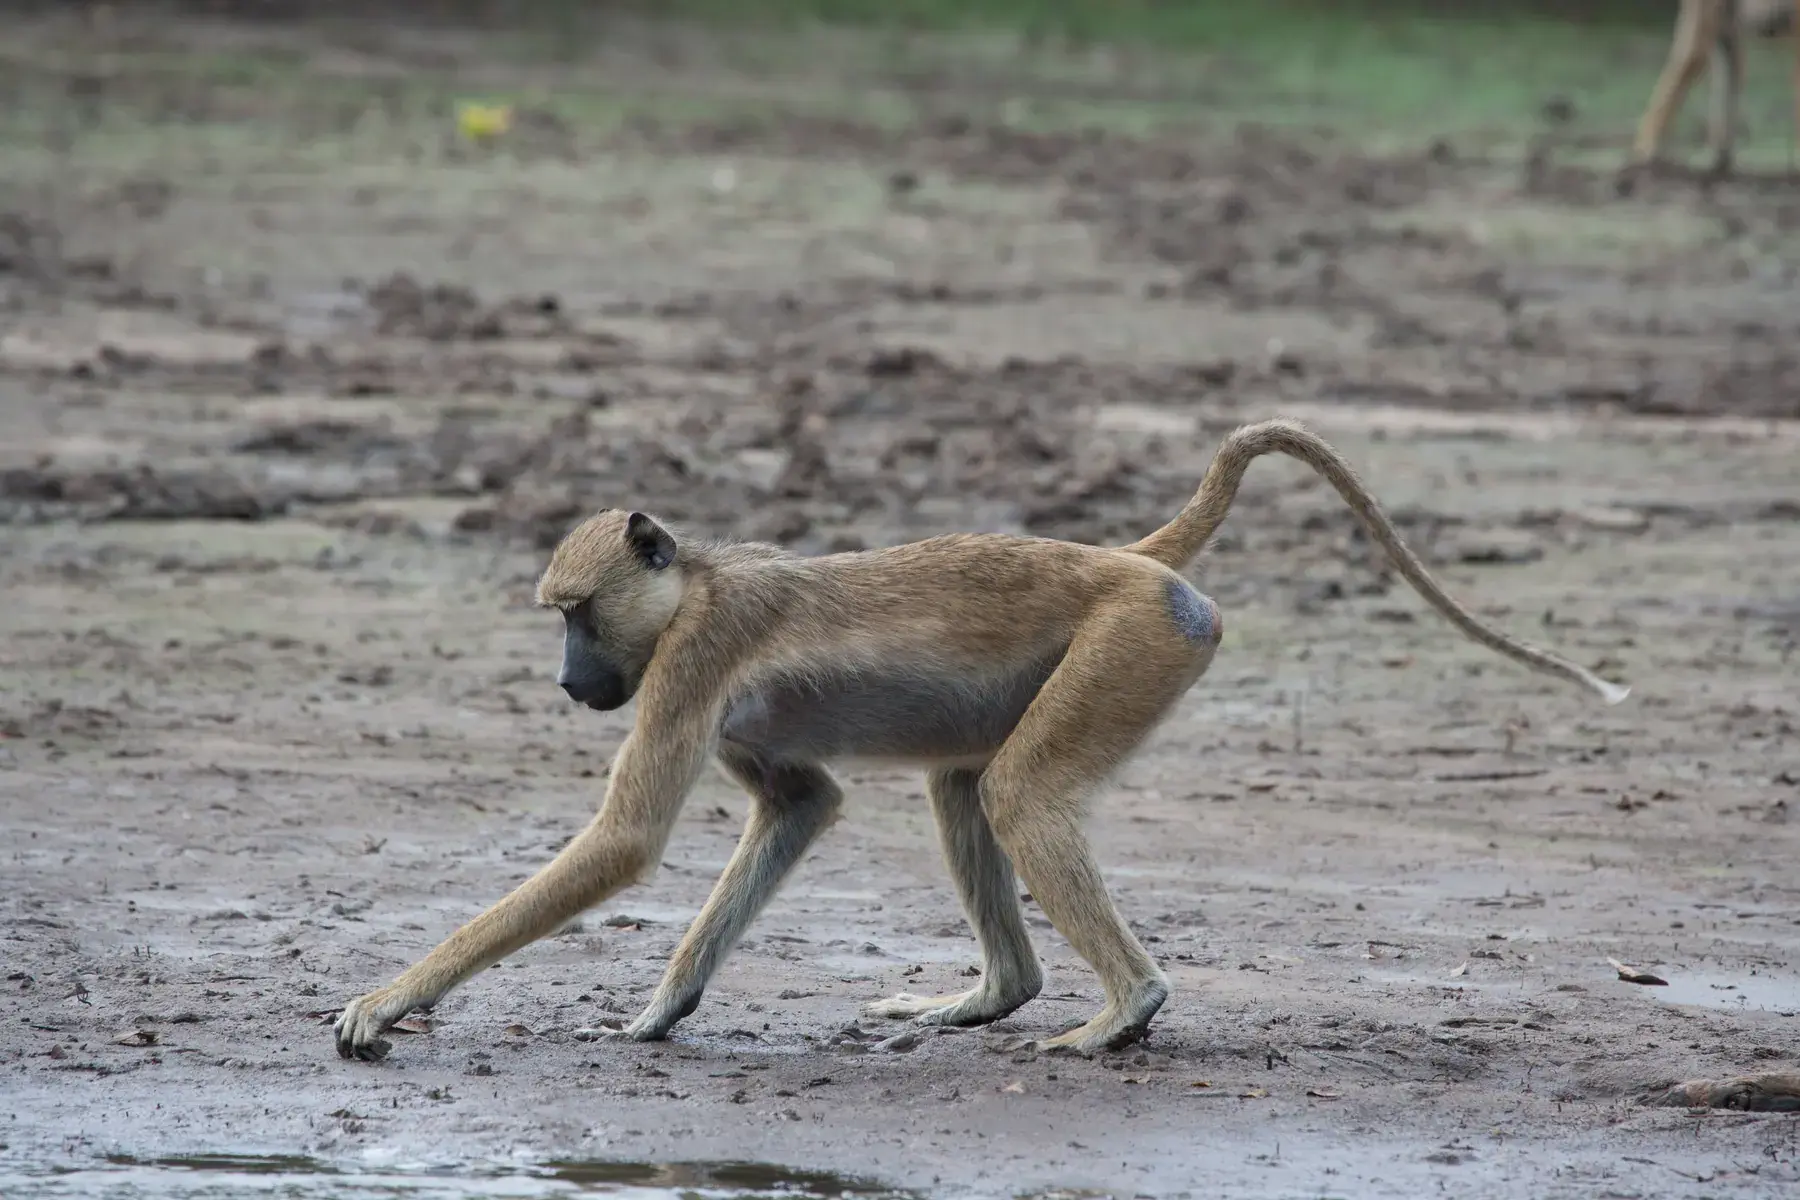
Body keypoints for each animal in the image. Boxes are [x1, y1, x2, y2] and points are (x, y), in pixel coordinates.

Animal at [333, 417, 1628, 1063]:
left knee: (1016, 795)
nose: (568, 684)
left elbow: (624, 844)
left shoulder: (692, 662)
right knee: (968, 792)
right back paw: (996, 998)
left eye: (577, 615)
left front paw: (386, 1005)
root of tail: (1129, 563)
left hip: (1135, 646)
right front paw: (660, 1014)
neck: (695, 584)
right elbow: (801, 807)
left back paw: (1123, 1010)